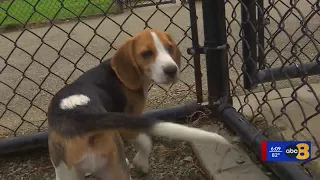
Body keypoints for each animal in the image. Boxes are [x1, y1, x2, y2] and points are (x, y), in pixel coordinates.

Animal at [47, 28, 231, 179]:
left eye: (169, 48)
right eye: (146, 53)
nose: (172, 70)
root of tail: (79, 115)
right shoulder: (128, 124)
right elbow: (146, 143)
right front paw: (141, 163)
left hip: (65, 172)